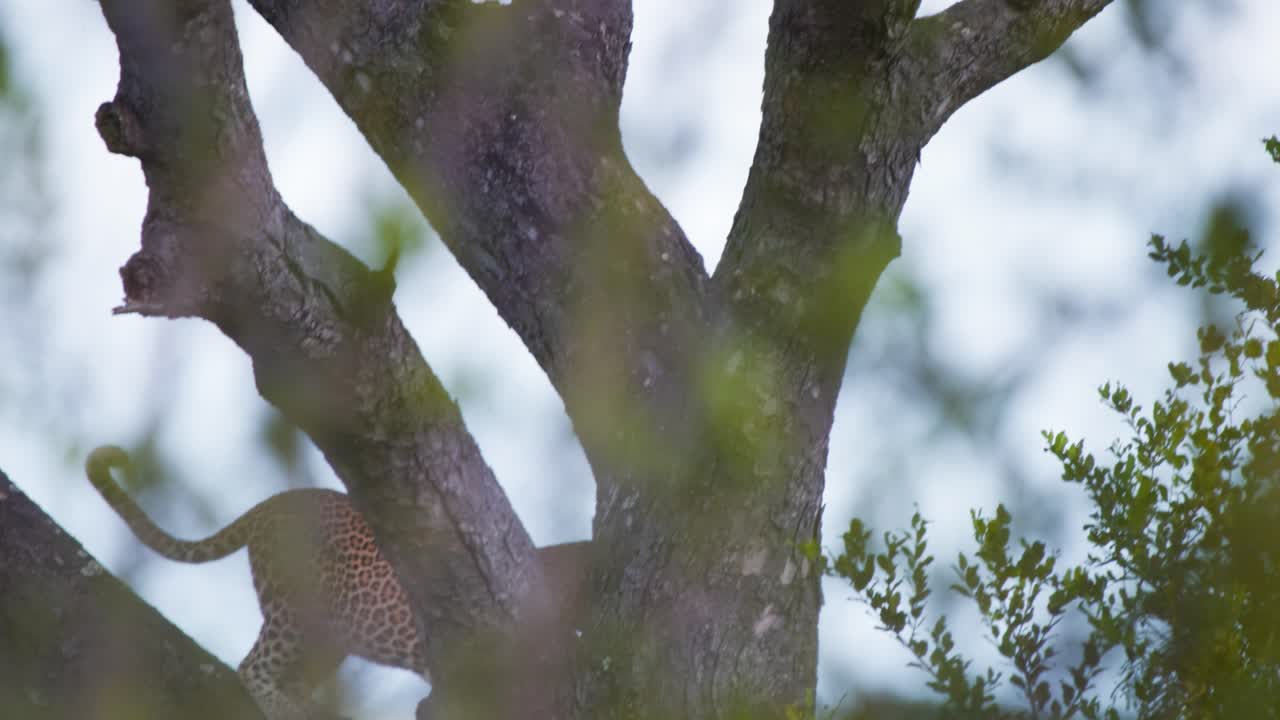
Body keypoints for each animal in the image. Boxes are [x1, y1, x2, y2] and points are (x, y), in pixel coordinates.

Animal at [86, 445, 428, 720]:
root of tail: (277, 501)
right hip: (295, 611)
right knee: (252, 666)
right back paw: (286, 711)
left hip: (331, 635)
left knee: (293, 677)